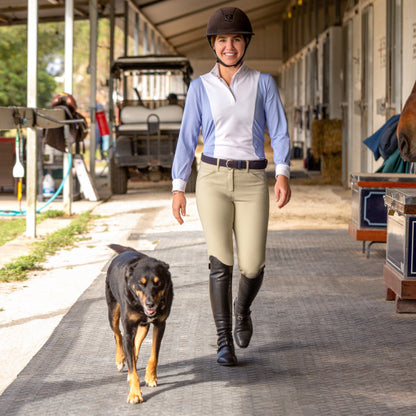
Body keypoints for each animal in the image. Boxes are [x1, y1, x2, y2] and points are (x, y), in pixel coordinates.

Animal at [107, 244, 174, 404]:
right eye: (140, 283)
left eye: (158, 283)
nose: (150, 304)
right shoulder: (128, 328)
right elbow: (132, 368)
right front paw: (135, 394)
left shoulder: (160, 325)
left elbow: (154, 354)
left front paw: (150, 377)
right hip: (113, 312)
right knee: (117, 334)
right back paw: (120, 359)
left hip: (144, 326)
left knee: (136, 345)